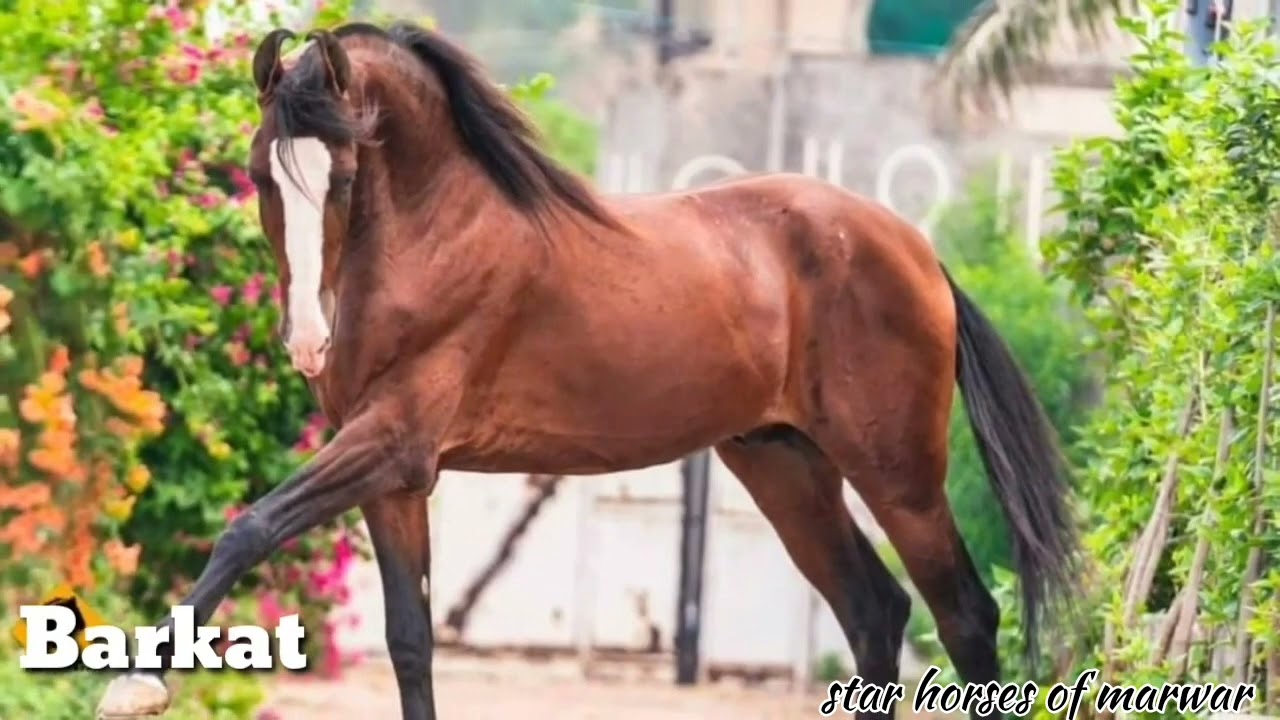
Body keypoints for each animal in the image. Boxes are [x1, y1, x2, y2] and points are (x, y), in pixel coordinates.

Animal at [95, 20, 1077, 720]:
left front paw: (135, 684)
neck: (439, 236)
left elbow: (248, 527)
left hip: (897, 473)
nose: (308, 341)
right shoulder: (395, 480)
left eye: (338, 177)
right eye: (261, 172)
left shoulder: (392, 441)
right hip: (784, 465)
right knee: (874, 613)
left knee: (966, 618)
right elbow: (410, 641)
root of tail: (917, 251)